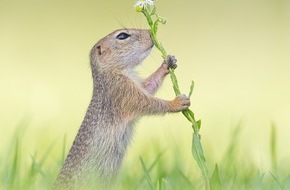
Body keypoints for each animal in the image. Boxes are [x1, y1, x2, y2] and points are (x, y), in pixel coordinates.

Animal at [54, 27, 190, 189]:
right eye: (122, 36)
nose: (150, 32)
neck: (112, 72)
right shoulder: (123, 91)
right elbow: (148, 102)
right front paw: (177, 102)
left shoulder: (135, 85)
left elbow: (149, 86)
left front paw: (167, 63)